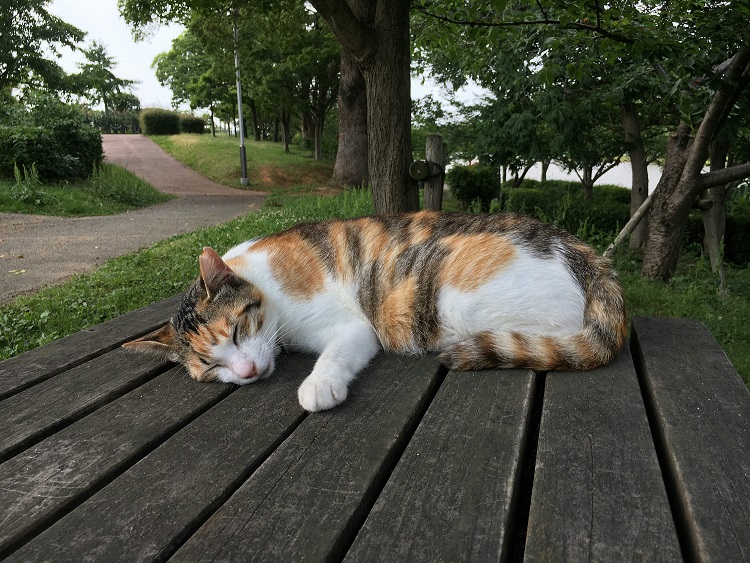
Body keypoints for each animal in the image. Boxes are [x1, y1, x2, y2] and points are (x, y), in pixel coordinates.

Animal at [123, 209, 628, 412]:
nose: (245, 371)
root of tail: (590, 259)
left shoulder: (355, 328)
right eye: (211, 367)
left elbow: (335, 355)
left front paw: (318, 387)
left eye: (235, 331)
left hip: (454, 295)